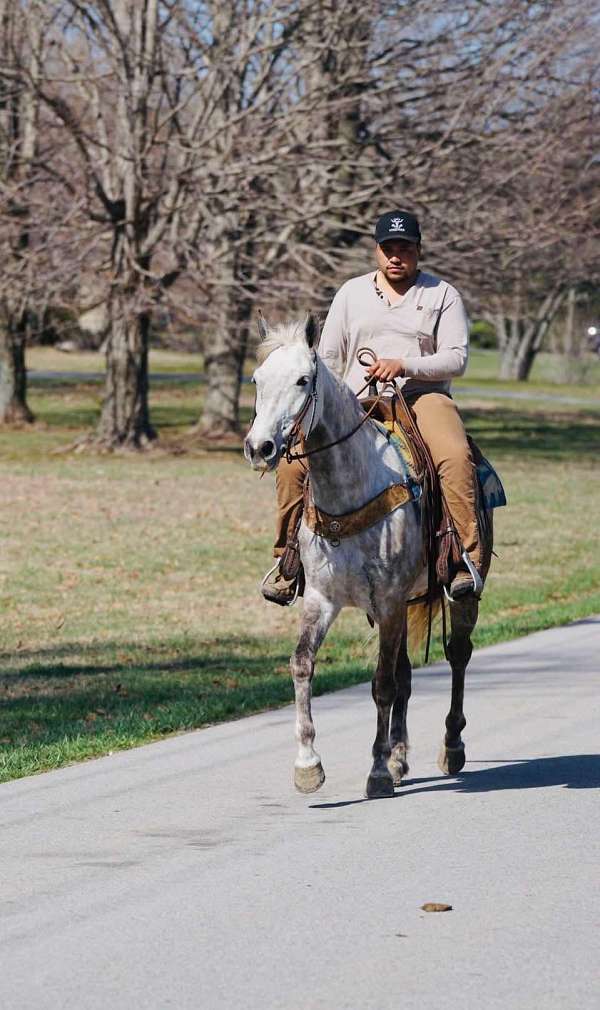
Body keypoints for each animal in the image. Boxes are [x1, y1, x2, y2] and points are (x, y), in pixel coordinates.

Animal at [242, 311, 490, 799]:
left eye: (303, 380)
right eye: (257, 379)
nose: (260, 448)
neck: (348, 492)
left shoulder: (390, 601)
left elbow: (382, 685)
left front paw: (376, 772)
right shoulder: (323, 599)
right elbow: (303, 664)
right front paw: (308, 765)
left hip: (459, 592)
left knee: (457, 654)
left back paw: (450, 746)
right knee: (408, 673)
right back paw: (399, 757)